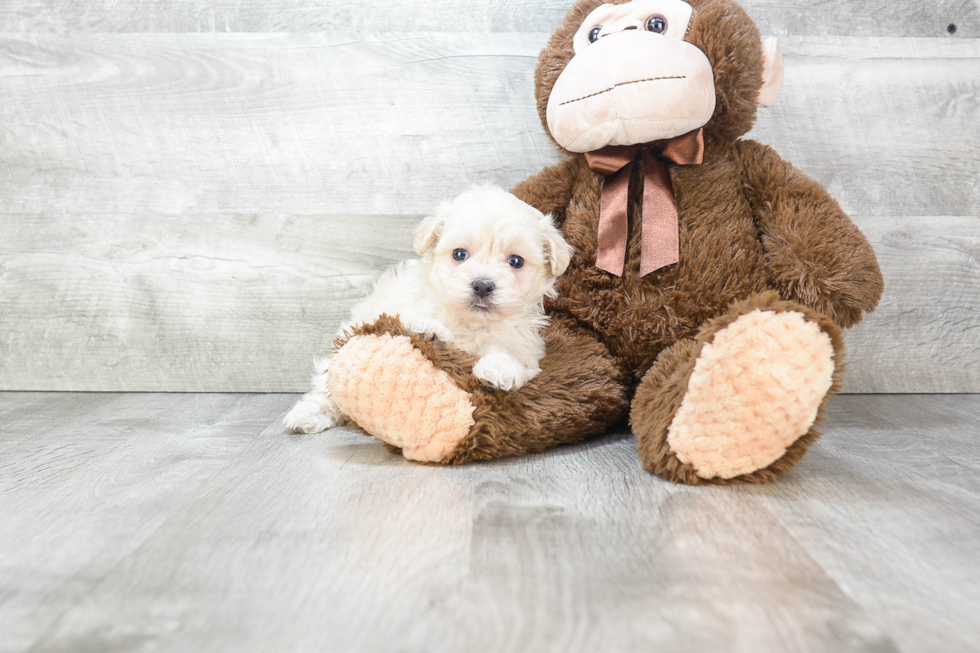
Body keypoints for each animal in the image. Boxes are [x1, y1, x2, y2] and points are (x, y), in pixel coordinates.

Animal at [284, 185, 576, 432]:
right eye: (460, 254)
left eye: (516, 261)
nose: (482, 285)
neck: (471, 323)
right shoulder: (401, 306)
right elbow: (411, 319)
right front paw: (429, 331)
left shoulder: (527, 350)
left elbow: (511, 357)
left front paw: (498, 370)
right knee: (325, 389)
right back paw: (307, 415)